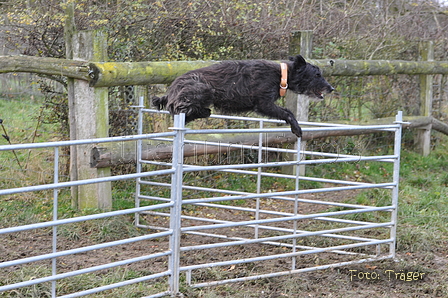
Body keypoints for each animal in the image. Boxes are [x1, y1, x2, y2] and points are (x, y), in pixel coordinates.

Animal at [153, 54, 332, 137]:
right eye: (317, 75)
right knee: (179, 109)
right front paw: (297, 128)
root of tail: (170, 89)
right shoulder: (264, 104)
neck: (281, 75)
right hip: (203, 88)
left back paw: (203, 112)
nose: (331, 88)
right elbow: (288, 113)